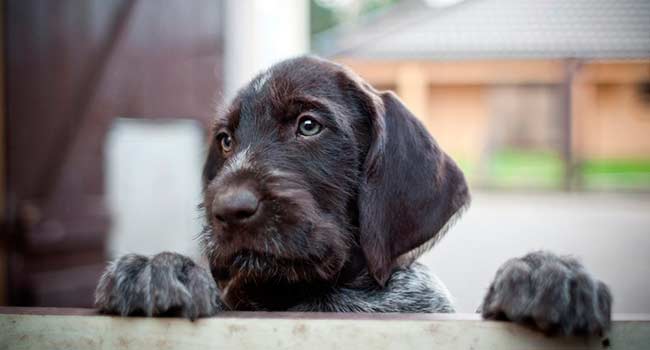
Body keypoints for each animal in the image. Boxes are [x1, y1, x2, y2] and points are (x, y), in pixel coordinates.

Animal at [93, 56, 612, 338]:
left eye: (308, 125)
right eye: (225, 140)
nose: (227, 211)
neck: (316, 294)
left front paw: (545, 276)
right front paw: (159, 268)